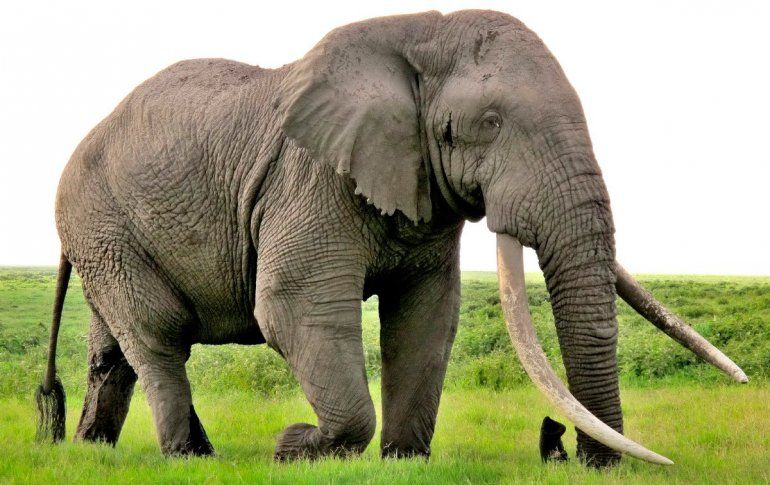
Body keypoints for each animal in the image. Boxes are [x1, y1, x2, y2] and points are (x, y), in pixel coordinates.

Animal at [35, 9, 748, 467]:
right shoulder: (311, 178)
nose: (566, 449)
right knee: (158, 335)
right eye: (489, 123)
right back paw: (191, 457)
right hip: (103, 224)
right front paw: (295, 448)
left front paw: (404, 460)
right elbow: (295, 308)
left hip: (106, 236)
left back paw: (92, 449)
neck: (417, 35)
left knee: (113, 351)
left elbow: (427, 318)